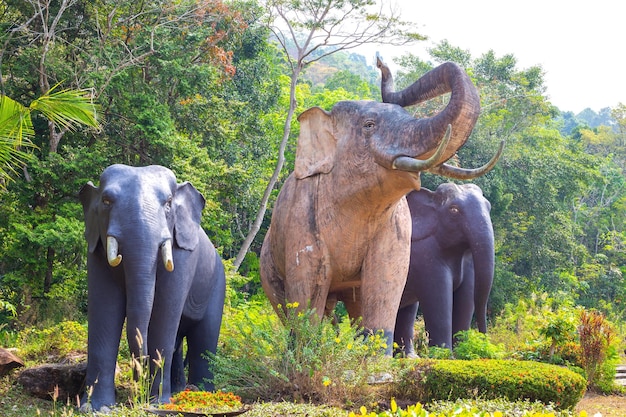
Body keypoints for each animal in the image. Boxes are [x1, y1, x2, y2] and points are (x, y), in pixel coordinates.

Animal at [77, 164, 224, 412]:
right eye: (106, 201)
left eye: (168, 203)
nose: (137, 396)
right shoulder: (95, 249)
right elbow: (105, 311)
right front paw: (96, 408)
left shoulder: (181, 255)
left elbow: (164, 315)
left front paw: (158, 404)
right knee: (179, 341)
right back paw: (178, 392)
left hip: (217, 284)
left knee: (204, 336)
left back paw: (200, 393)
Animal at [394, 183, 492, 354]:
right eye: (454, 210)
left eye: (489, 206)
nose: (484, 338)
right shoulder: (427, 260)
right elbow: (439, 302)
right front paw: (445, 355)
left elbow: (465, 300)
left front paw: (461, 353)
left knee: (407, 311)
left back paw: (409, 356)